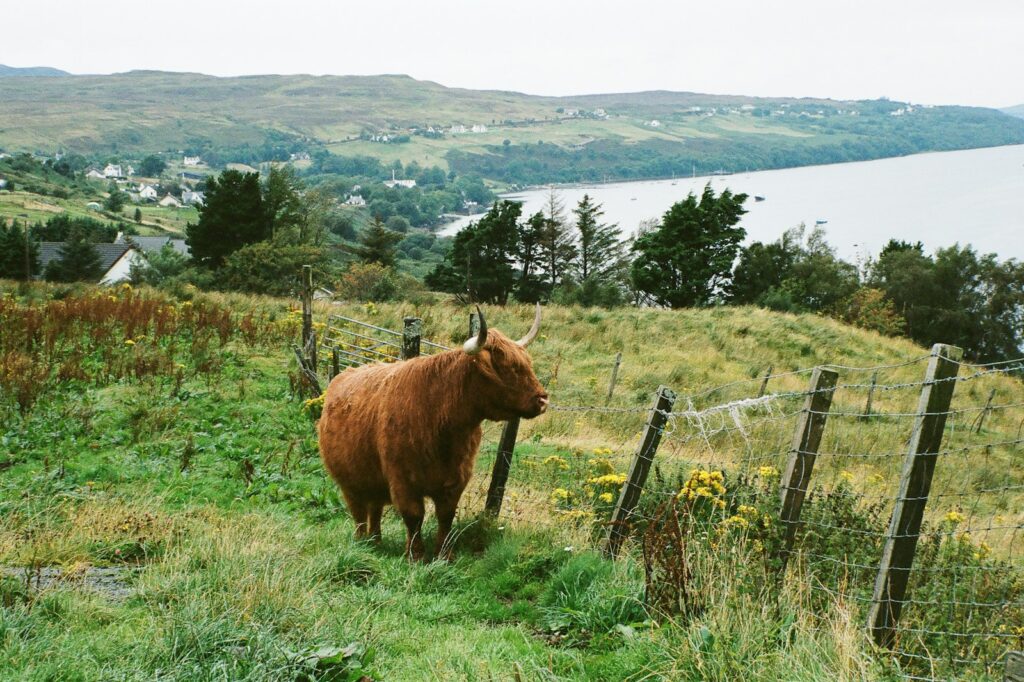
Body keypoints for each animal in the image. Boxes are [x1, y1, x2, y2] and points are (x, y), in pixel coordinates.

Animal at [318, 304, 548, 561]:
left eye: (527, 363)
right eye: (508, 367)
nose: (542, 400)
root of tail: (342, 375)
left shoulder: (456, 480)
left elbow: (445, 517)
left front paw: (444, 555)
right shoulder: (403, 481)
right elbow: (414, 516)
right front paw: (416, 556)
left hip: (373, 479)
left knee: (375, 510)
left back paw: (375, 542)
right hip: (350, 481)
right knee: (358, 513)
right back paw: (362, 543)